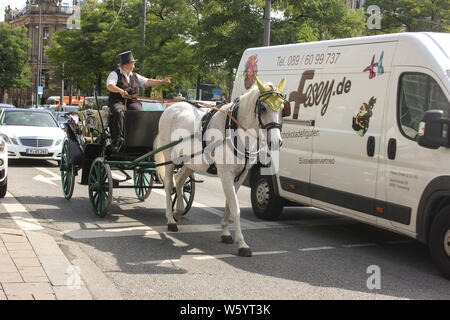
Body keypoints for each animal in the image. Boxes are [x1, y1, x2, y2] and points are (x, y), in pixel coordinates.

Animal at [155, 76, 288, 256]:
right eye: (263, 107)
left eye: (282, 108)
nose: (275, 141)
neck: (235, 130)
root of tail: (172, 107)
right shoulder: (225, 174)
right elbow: (235, 208)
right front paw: (242, 244)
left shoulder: (240, 175)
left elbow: (229, 205)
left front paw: (225, 232)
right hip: (170, 156)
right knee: (169, 184)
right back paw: (170, 219)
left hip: (191, 162)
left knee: (180, 180)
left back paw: (179, 211)